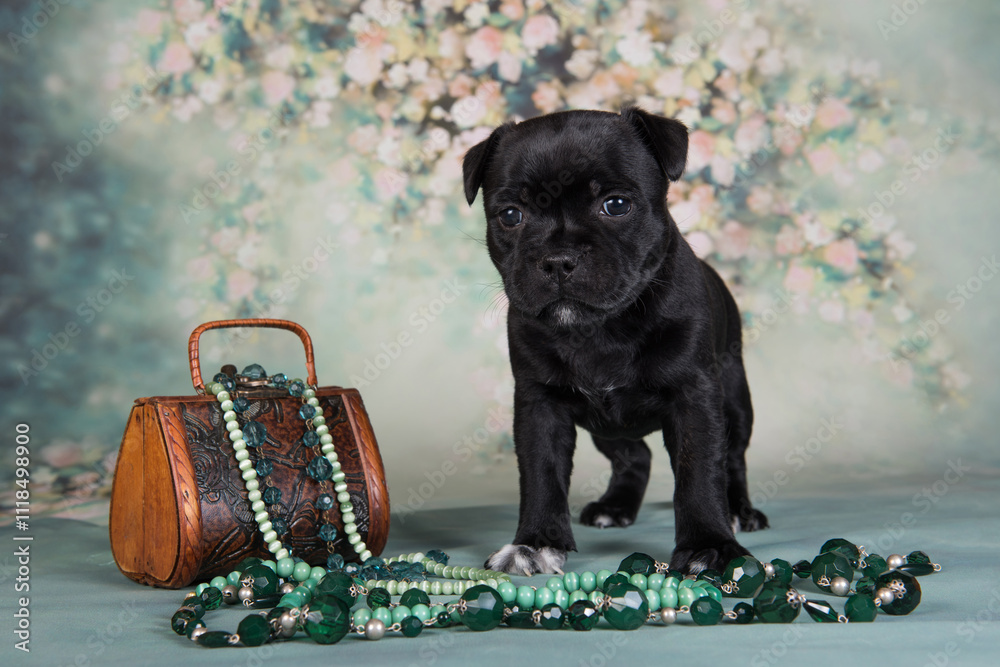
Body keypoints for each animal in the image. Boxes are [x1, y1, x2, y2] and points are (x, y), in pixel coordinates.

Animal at [464, 107, 768, 576]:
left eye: (617, 205)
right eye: (511, 215)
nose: (558, 259)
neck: (601, 329)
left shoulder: (695, 398)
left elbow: (700, 471)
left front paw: (709, 545)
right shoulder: (539, 405)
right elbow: (540, 473)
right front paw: (535, 542)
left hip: (734, 400)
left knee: (732, 458)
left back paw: (739, 511)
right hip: (606, 427)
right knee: (634, 455)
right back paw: (615, 506)